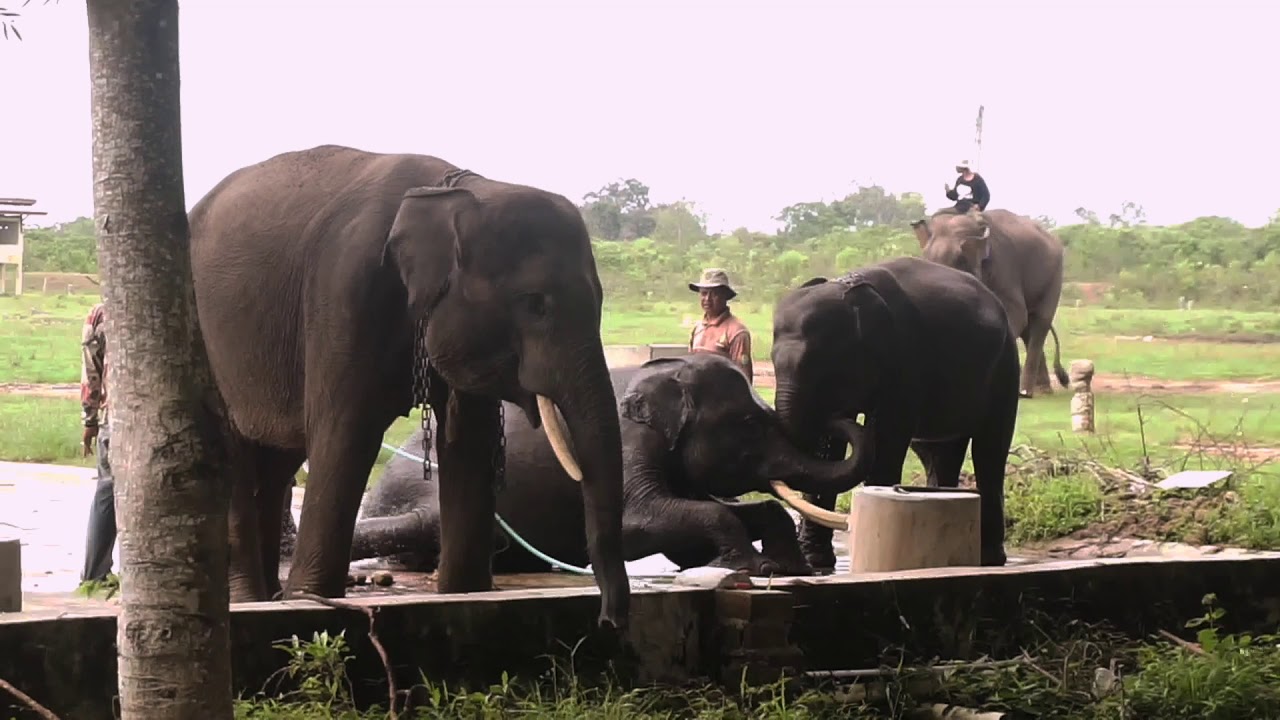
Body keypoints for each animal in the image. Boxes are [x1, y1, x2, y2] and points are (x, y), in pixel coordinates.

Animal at [188, 144, 629, 628]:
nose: (608, 620)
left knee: (277, 463)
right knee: (239, 454)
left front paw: (465, 594)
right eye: (535, 304)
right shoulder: (345, 289)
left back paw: (267, 596)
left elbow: (468, 446)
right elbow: (346, 436)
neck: (459, 190)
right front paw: (310, 599)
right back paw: (251, 600)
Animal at [343, 353, 872, 578]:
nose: (842, 416)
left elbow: (697, 526)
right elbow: (634, 525)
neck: (664, 373)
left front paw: (789, 570)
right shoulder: (624, 443)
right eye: (747, 423)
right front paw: (753, 568)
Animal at [770, 256, 1021, 571]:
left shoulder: (905, 357)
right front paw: (817, 564)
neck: (849, 286)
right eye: (772, 362)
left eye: (821, 369)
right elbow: (830, 454)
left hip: (1006, 368)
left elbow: (886, 437)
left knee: (990, 451)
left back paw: (989, 560)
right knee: (939, 453)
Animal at [911, 207, 1070, 398]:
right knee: (1028, 330)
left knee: (1039, 323)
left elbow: (1016, 314)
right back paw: (1041, 390)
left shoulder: (1004, 267)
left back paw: (1025, 392)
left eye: (959, 259)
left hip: (1054, 277)